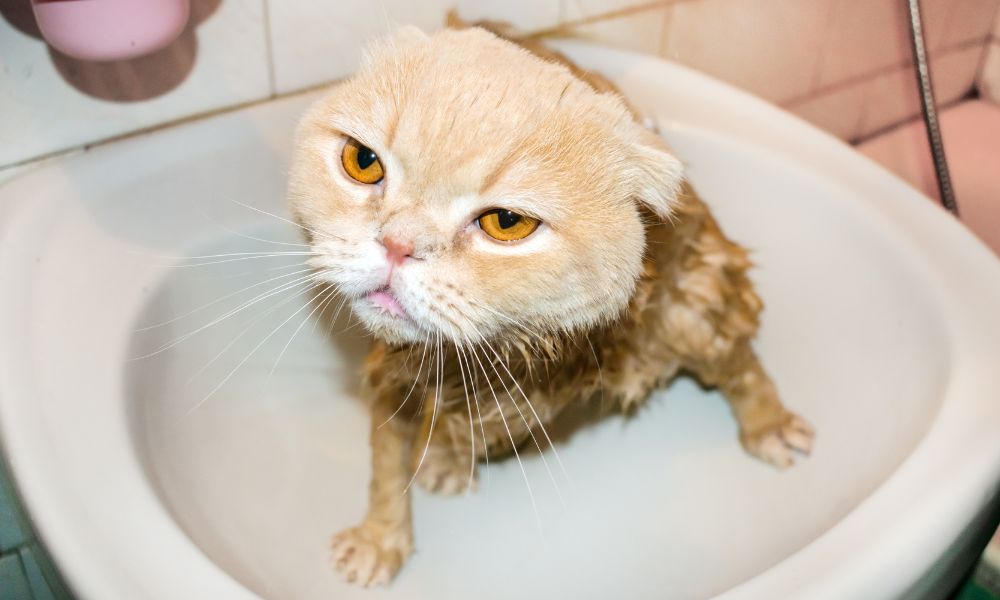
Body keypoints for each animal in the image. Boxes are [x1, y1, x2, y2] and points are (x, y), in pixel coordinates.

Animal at [284, 19, 812, 584]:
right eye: (363, 163)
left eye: (506, 223)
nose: (397, 245)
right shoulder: (394, 368)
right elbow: (388, 460)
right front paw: (380, 537)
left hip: (692, 305)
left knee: (734, 354)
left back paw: (770, 425)